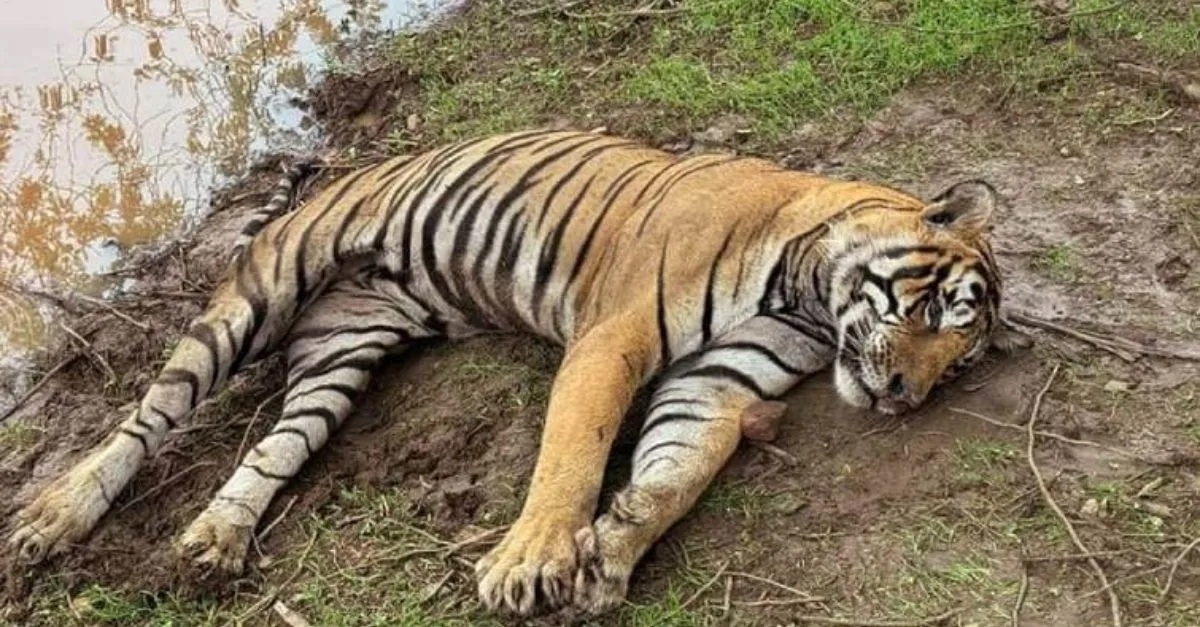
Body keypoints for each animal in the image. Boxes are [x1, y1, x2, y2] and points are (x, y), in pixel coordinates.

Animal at [8, 129, 1007, 616]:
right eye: (931, 313)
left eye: (960, 363)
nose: (903, 397)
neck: (803, 290)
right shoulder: (612, 338)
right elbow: (574, 449)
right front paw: (533, 560)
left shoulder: (720, 381)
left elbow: (676, 472)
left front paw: (611, 549)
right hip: (259, 295)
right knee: (149, 413)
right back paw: (55, 514)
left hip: (339, 358)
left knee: (271, 449)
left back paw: (216, 539)